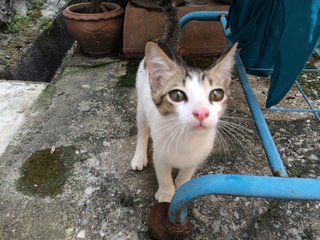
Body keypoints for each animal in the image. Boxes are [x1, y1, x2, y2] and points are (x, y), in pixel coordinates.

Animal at [130, 0, 238, 202]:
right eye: (177, 96)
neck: (188, 139)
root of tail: (163, 41)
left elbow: (186, 173)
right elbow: (163, 173)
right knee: (142, 130)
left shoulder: (198, 156)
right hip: (142, 102)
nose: (201, 113)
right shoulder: (160, 153)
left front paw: (182, 186)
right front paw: (166, 193)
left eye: (216, 94)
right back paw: (139, 156)